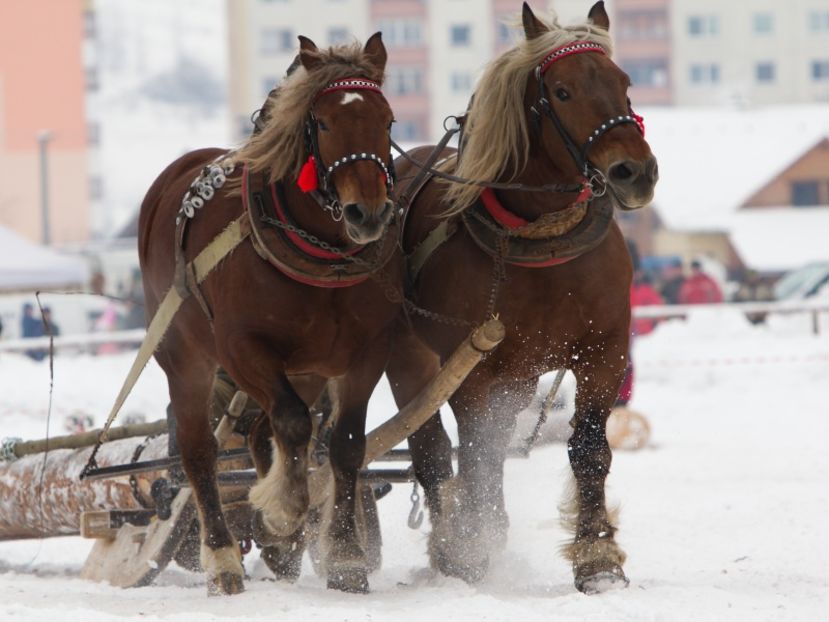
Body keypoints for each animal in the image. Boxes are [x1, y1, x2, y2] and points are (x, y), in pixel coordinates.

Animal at [138, 35, 402, 600]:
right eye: (323, 122)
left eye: (388, 120)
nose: (367, 214)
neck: (320, 254)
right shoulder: (242, 348)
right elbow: (295, 423)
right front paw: (283, 511)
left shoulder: (367, 351)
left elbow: (346, 444)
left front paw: (345, 557)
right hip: (187, 358)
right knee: (200, 451)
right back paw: (222, 559)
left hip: (305, 368)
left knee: (262, 429)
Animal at [388, 2, 660, 596]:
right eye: (562, 92)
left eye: (624, 83)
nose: (634, 172)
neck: (541, 239)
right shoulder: (470, 368)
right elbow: (477, 456)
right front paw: (469, 550)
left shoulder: (604, 352)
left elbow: (589, 449)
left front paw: (597, 560)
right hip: (418, 364)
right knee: (434, 448)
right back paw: (455, 543)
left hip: (517, 377)